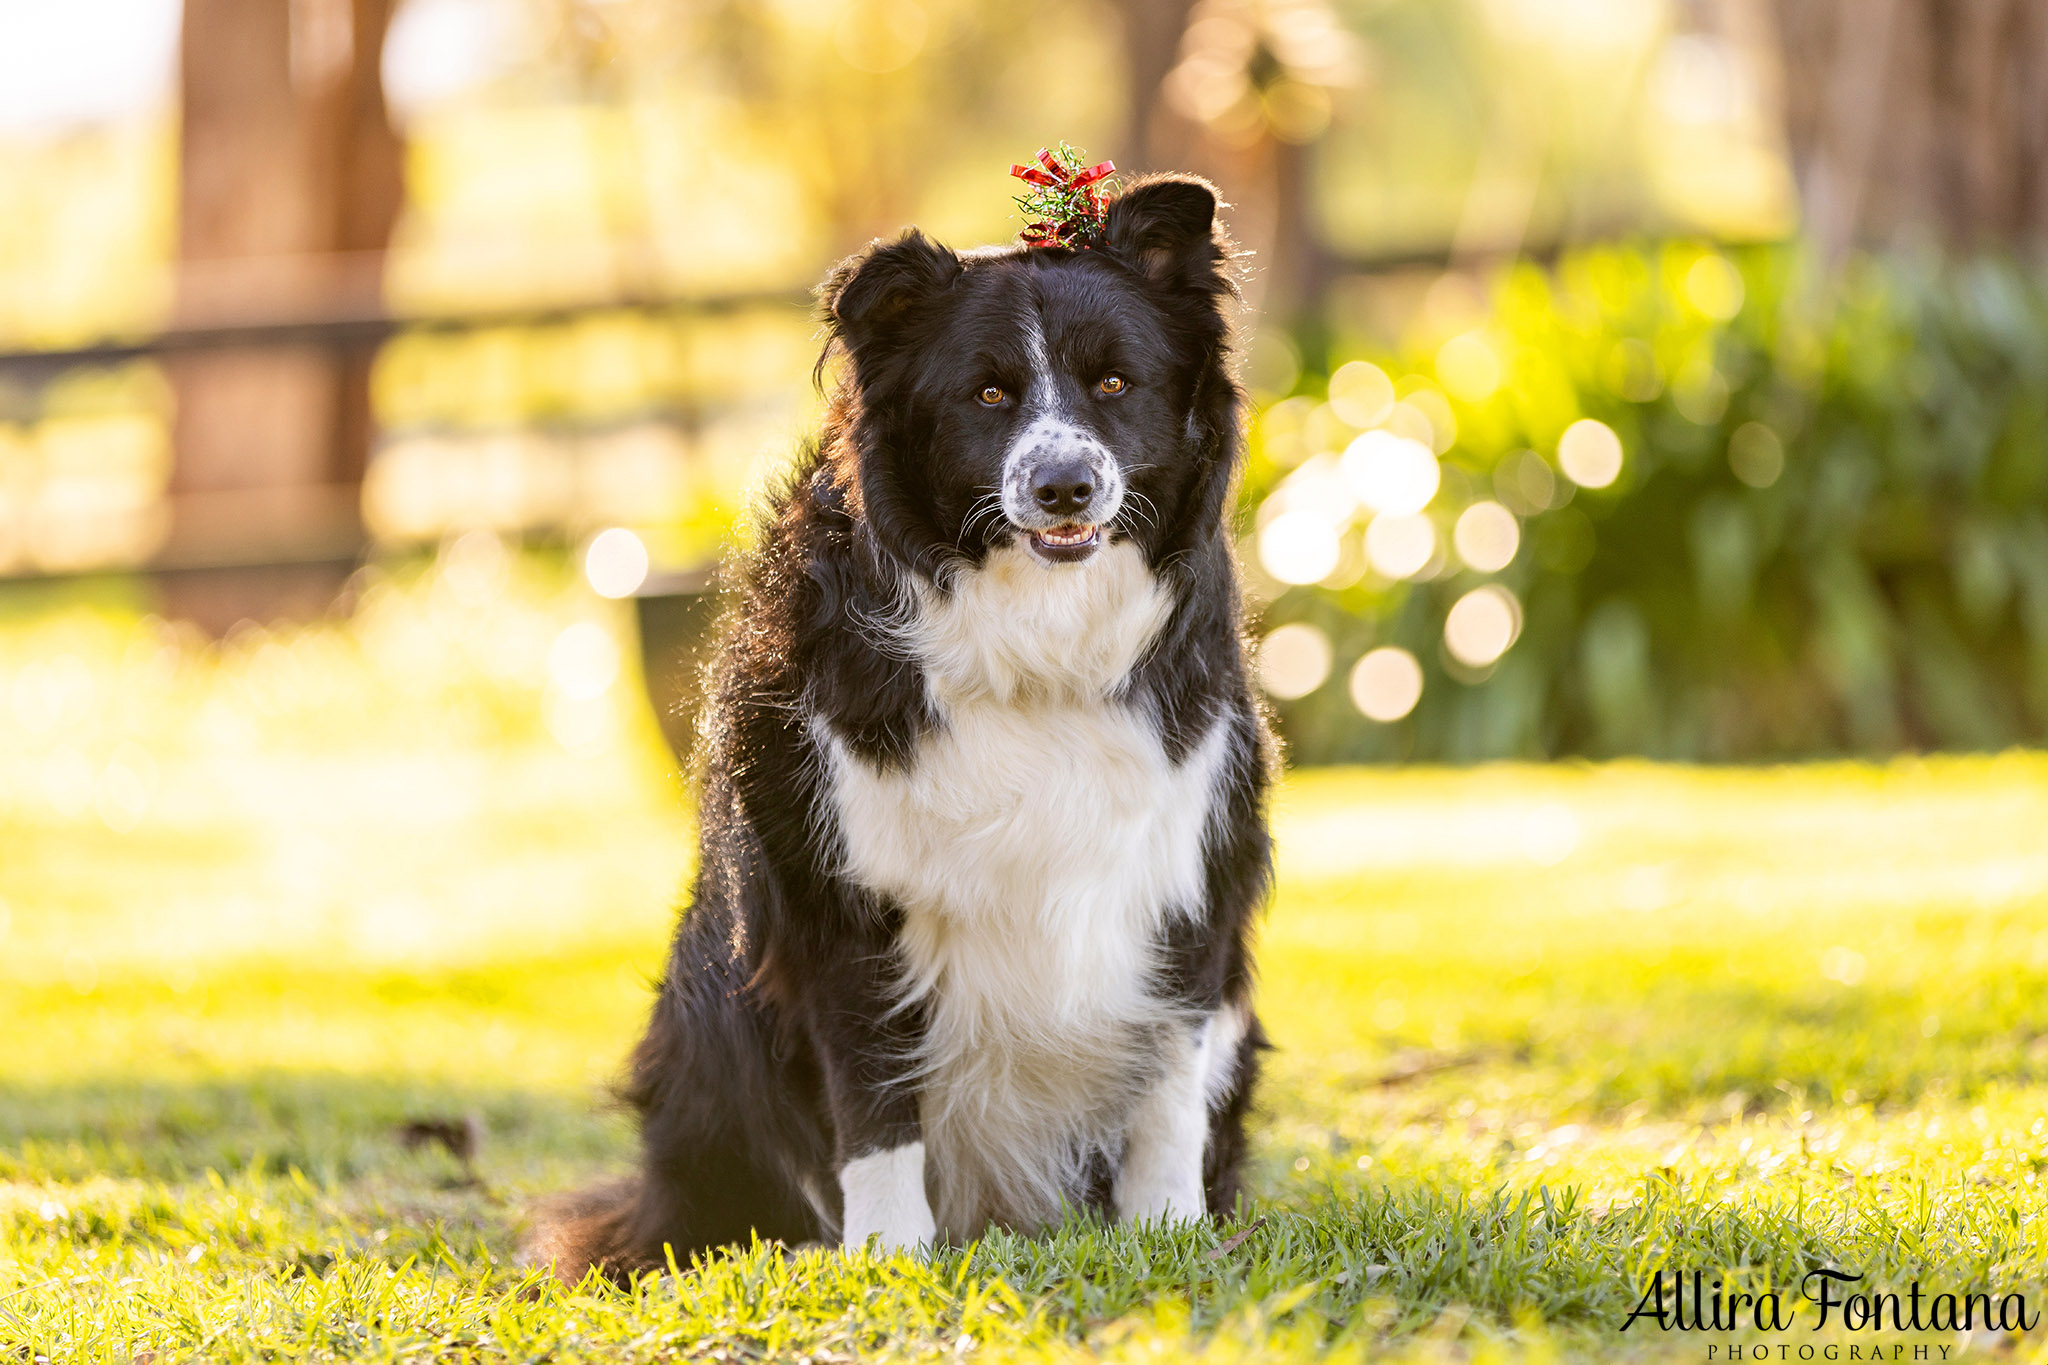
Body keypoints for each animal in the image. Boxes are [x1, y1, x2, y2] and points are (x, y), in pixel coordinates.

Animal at [540, 173, 1277, 1285]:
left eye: (1115, 383)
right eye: (987, 395)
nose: (1064, 486)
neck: (1032, 637)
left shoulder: (1185, 865)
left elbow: (1165, 1075)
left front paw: (1166, 1228)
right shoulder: (841, 891)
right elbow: (876, 1089)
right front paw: (887, 1254)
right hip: (707, 1003)